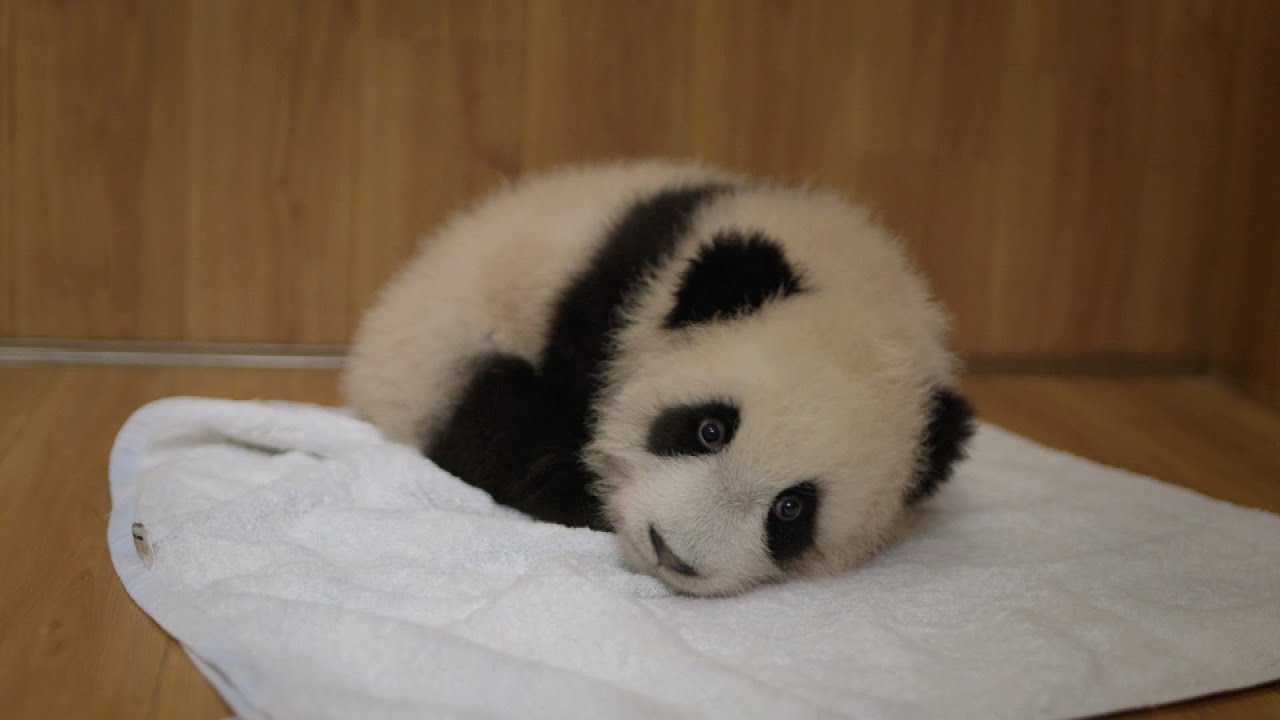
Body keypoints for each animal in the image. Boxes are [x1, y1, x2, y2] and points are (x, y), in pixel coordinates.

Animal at [344, 159, 975, 597]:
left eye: (791, 510)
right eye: (709, 430)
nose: (671, 552)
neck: (853, 286)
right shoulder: (606, 304)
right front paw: (586, 488)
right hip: (441, 351)